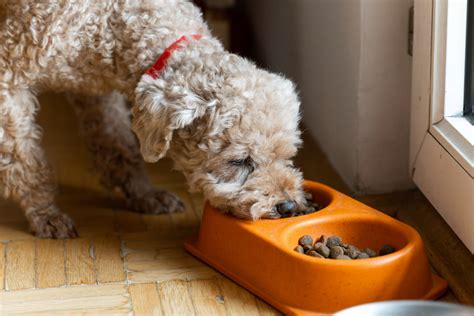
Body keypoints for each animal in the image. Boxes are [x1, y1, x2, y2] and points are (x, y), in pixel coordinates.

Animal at [0, 0, 304, 237]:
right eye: (239, 161)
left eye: (287, 155)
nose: (287, 206)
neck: (111, 19)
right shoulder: (9, 78)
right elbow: (25, 160)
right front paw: (45, 212)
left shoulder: (94, 90)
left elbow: (118, 143)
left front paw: (143, 193)